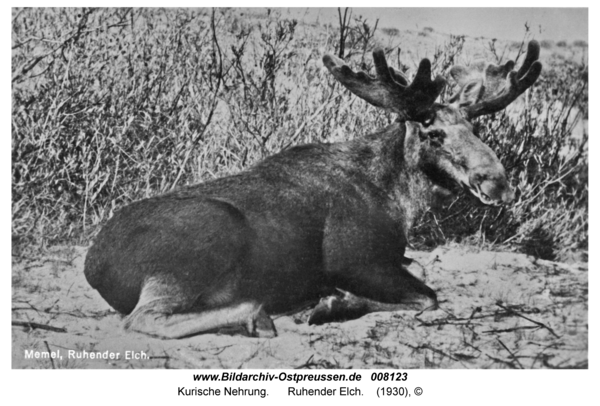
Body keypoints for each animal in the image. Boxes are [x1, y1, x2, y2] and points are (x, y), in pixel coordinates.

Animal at [85, 41, 544, 340]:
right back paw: (261, 315)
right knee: (143, 319)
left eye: (475, 129)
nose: (498, 182)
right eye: (433, 133)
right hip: (202, 242)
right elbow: (428, 296)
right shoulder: (352, 259)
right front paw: (331, 304)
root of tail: (94, 266)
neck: (398, 202)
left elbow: (423, 270)